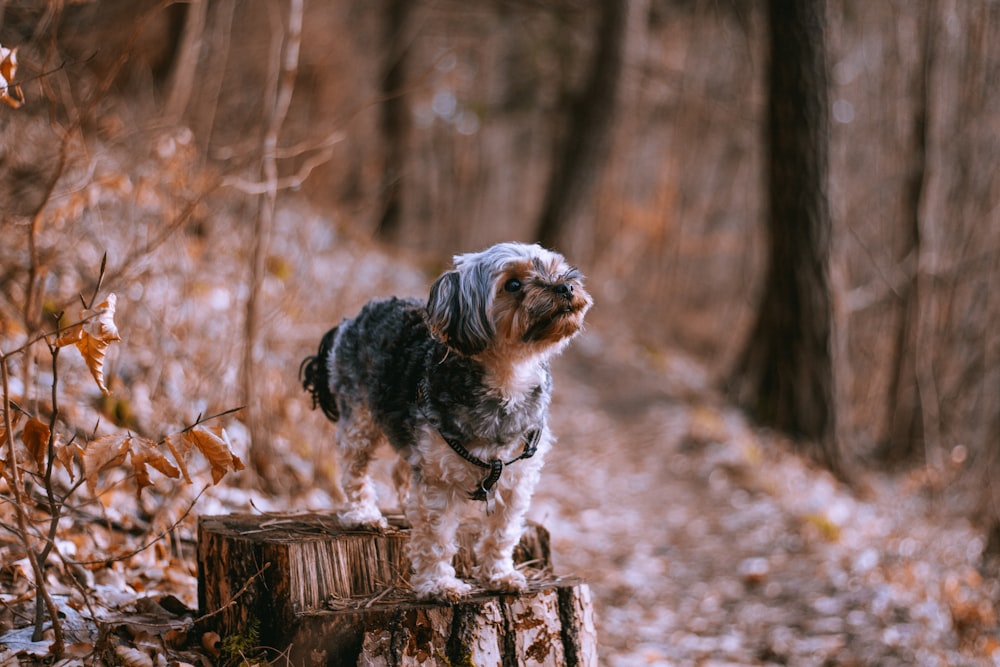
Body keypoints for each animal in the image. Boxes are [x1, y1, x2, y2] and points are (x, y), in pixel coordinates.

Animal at [296, 243, 592, 604]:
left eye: (556, 267)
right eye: (512, 285)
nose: (566, 286)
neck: (507, 379)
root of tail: (350, 320)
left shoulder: (517, 480)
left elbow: (502, 532)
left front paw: (499, 575)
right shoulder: (438, 479)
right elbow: (436, 537)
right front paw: (438, 585)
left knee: (400, 471)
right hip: (361, 419)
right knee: (355, 470)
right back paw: (363, 515)